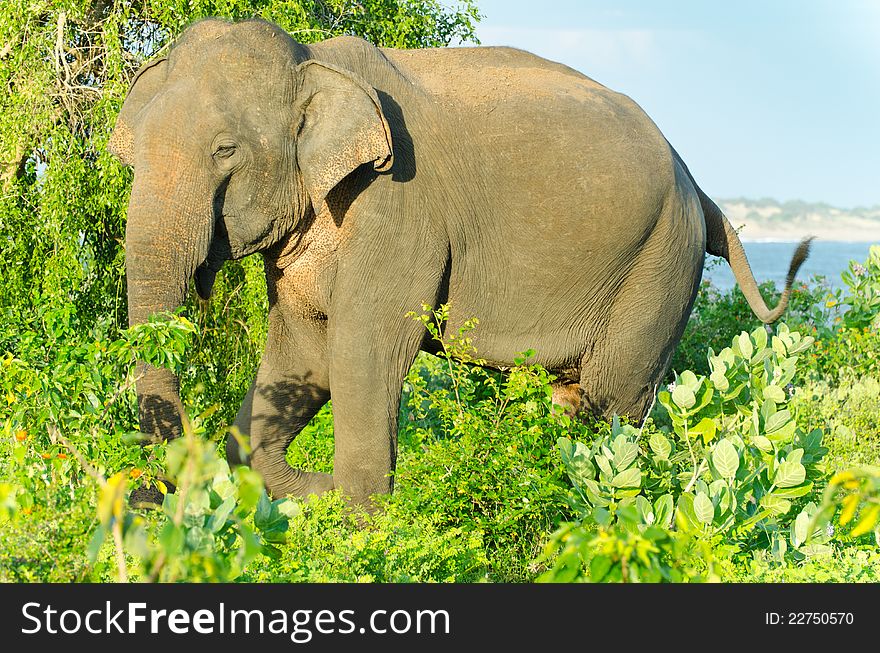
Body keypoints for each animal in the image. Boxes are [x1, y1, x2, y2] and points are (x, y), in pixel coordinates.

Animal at [110, 16, 812, 504]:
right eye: (133, 152)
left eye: (224, 150)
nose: (151, 498)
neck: (314, 61)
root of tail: (698, 186)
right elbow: (303, 356)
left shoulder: (401, 208)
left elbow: (361, 351)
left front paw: (359, 520)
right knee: (572, 400)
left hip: (661, 262)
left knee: (613, 403)